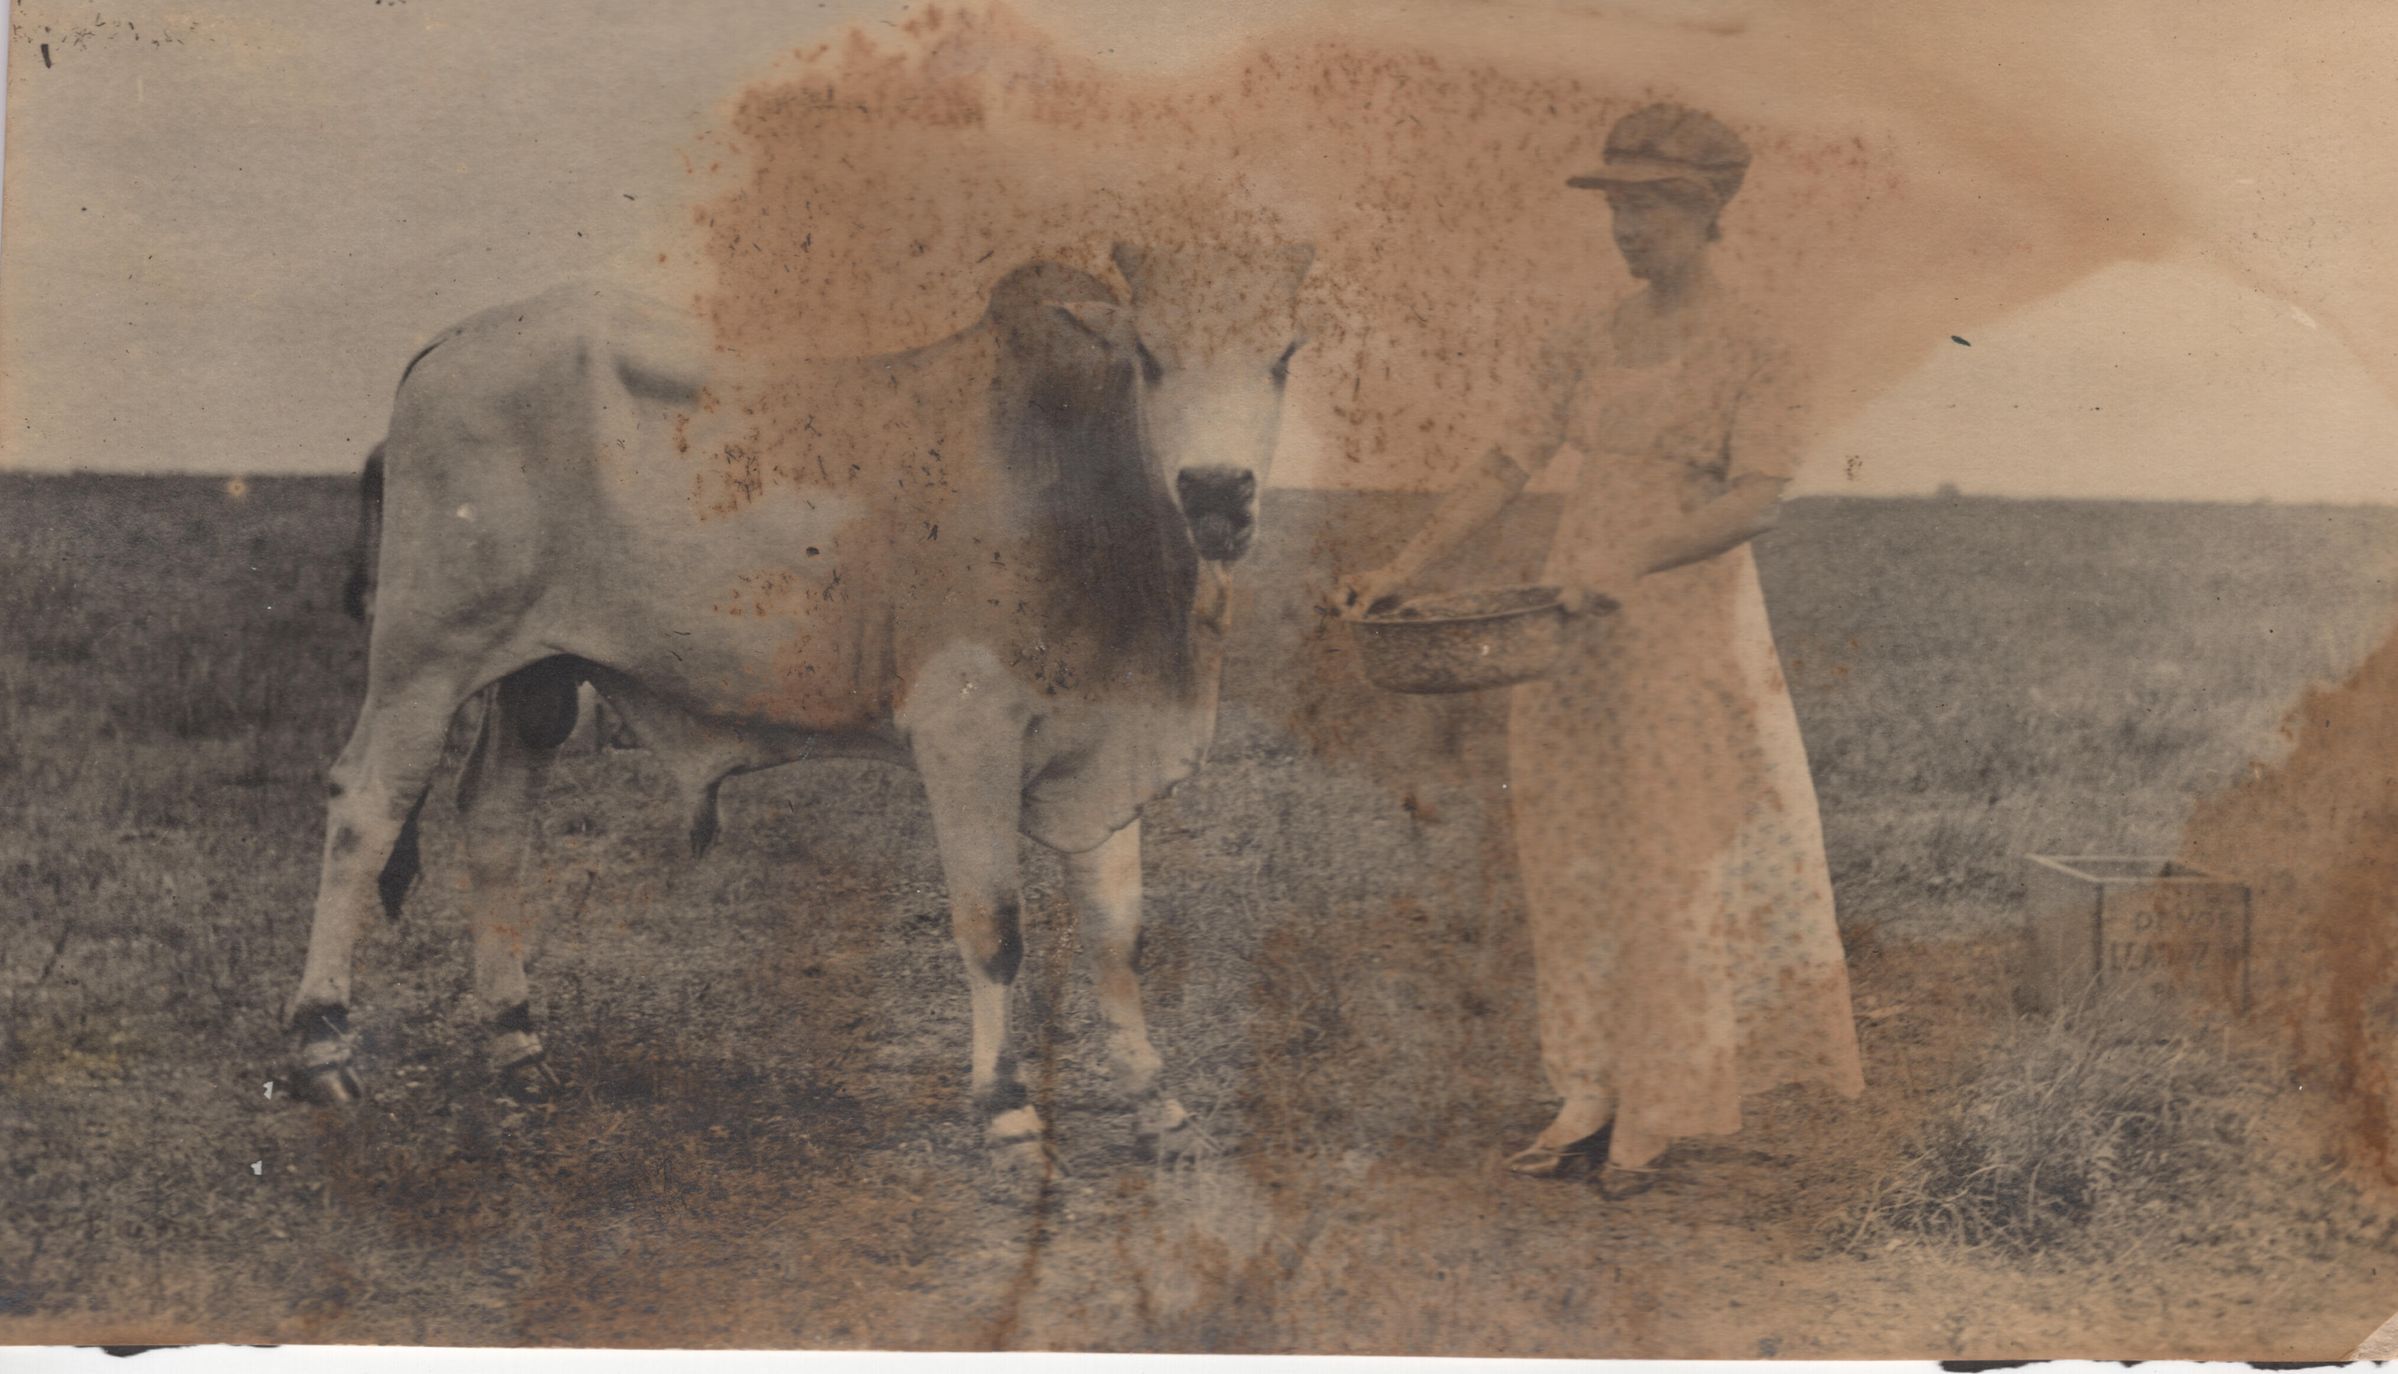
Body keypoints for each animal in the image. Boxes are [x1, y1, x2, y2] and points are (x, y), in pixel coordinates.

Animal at [285, 242, 1314, 1174]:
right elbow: (995, 928)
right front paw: (1006, 1106)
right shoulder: (965, 732)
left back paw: (515, 1042)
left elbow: (1116, 939)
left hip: (539, 671)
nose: (1216, 491)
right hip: (426, 653)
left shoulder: (1105, 745)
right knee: (366, 804)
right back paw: (320, 1046)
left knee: (495, 821)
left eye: (1286, 354)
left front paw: (1159, 1104)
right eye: (1150, 356)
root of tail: (453, 340)